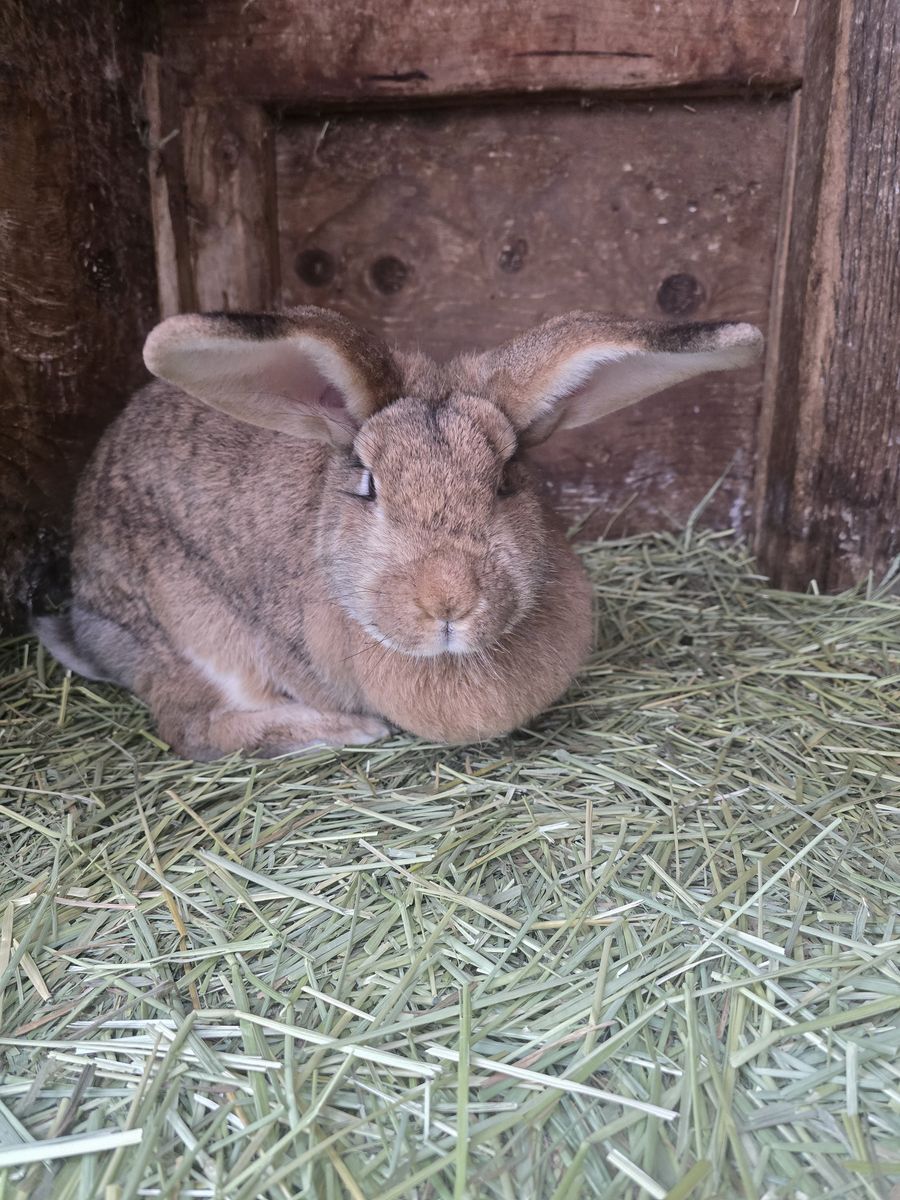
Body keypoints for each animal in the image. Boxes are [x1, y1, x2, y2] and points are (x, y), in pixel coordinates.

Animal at [34, 307, 762, 760]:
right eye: (369, 484)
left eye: (506, 479)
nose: (447, 601)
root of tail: (88, 626)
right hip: (188, 633)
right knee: (194, 728)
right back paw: (347, 730)